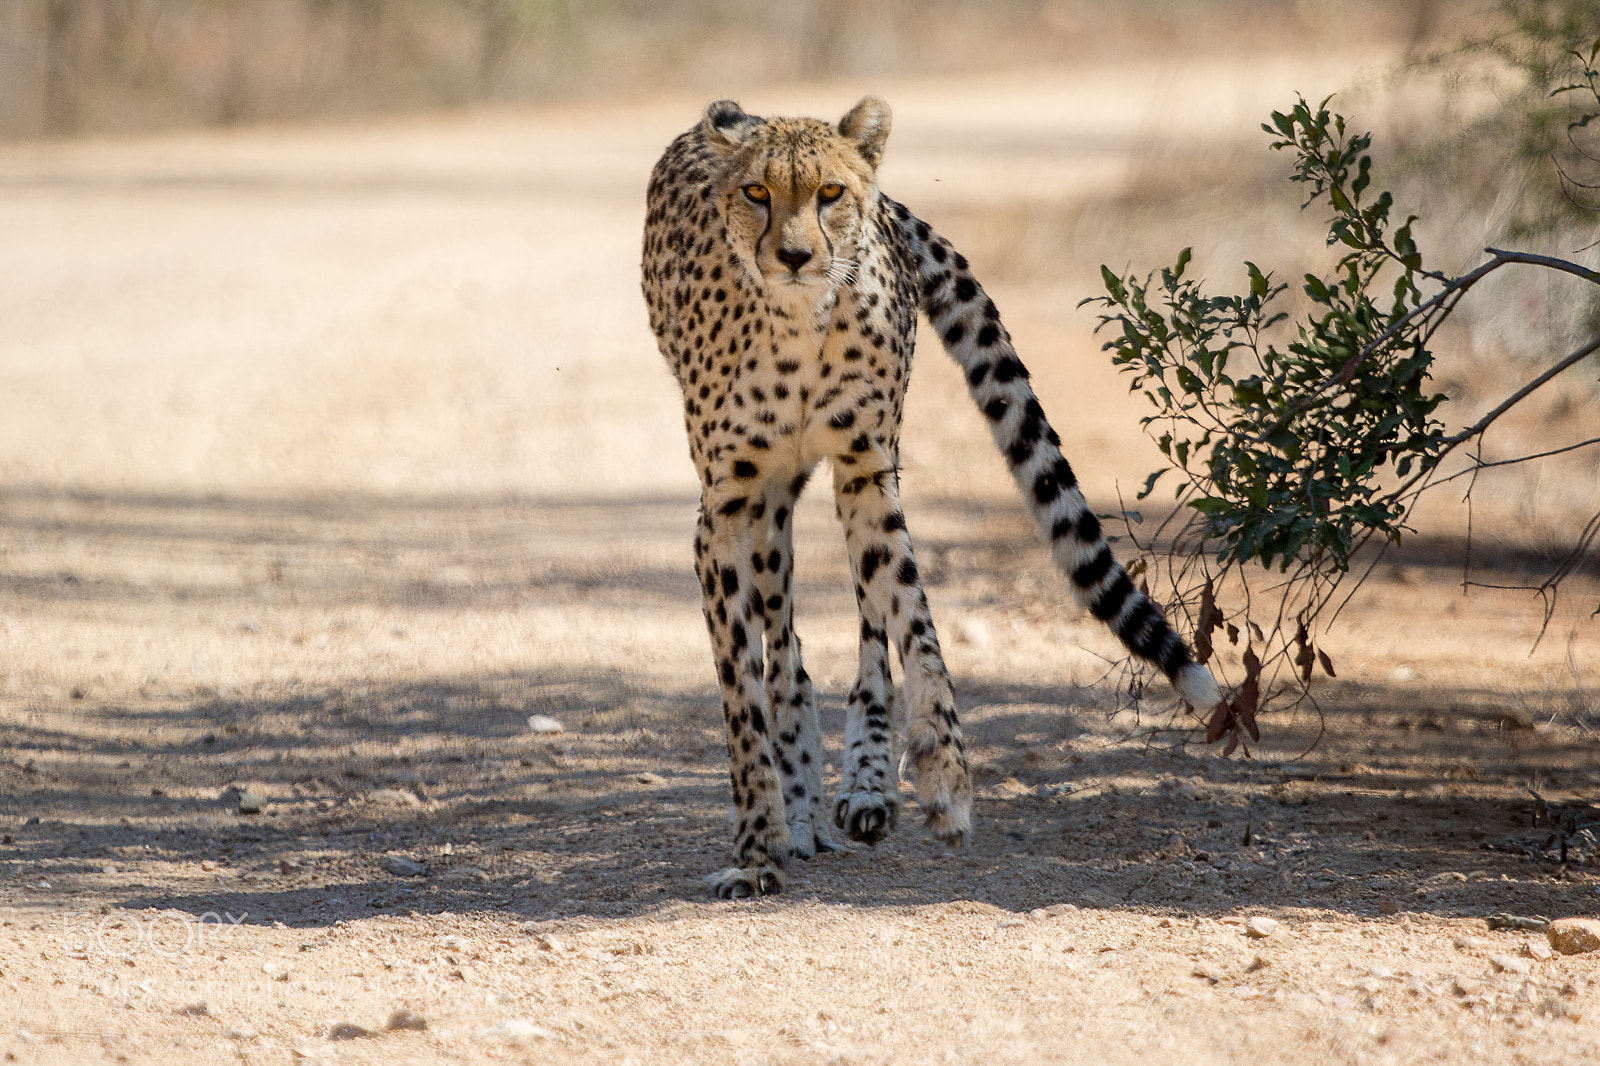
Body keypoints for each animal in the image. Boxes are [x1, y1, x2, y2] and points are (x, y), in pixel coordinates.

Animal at [641, 96, 1222, 899]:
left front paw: (945, 779)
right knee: (784, 646)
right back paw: (805, 808)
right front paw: (758, 848)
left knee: (864, 619)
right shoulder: (723, 511)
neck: (799, 327)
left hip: (857, 471)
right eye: (756, 193)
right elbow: (742, 696)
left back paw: (865, 784)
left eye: (829, 193)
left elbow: (913, 623)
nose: (794, 256)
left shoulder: (866, 470)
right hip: (771, 502)